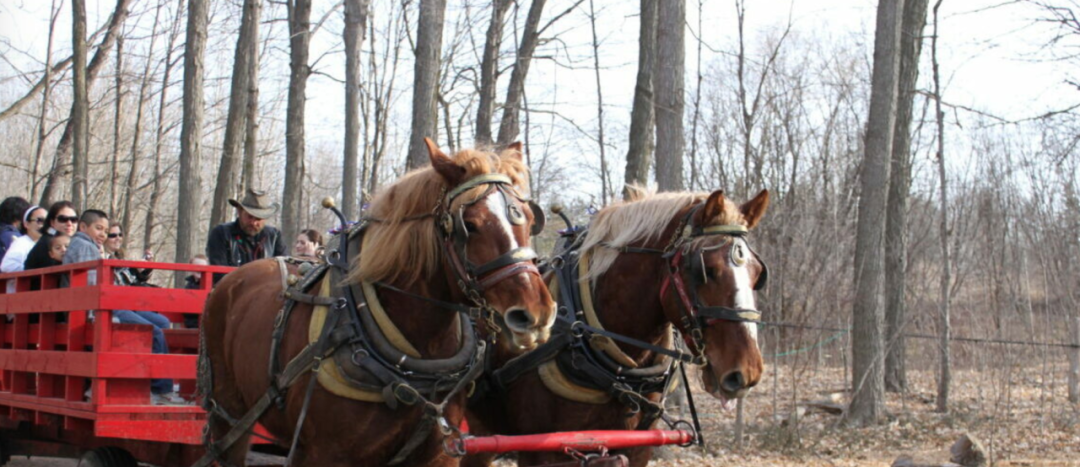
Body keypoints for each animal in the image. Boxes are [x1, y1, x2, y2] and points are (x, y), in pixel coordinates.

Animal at [198, 139, 557, 467]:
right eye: (470, 225)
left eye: (528, 218)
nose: (536, 314)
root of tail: (229, 282)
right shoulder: (324, 454)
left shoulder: (440, 454)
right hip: (229, 415)